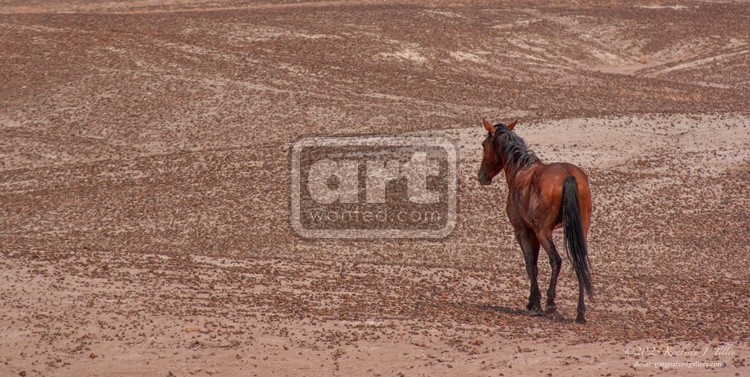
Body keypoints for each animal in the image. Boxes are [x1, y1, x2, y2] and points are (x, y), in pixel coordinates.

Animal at [482, 117, 592, 324]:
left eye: (483, 145)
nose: (482, 176)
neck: (521, 170)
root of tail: (569, 175)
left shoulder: (524, 231)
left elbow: (530, 265)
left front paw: (534, 304)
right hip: (579, 231)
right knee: (579, 261)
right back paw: (580, 313)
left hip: (543, 232)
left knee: (556, 260)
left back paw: (550, 303)